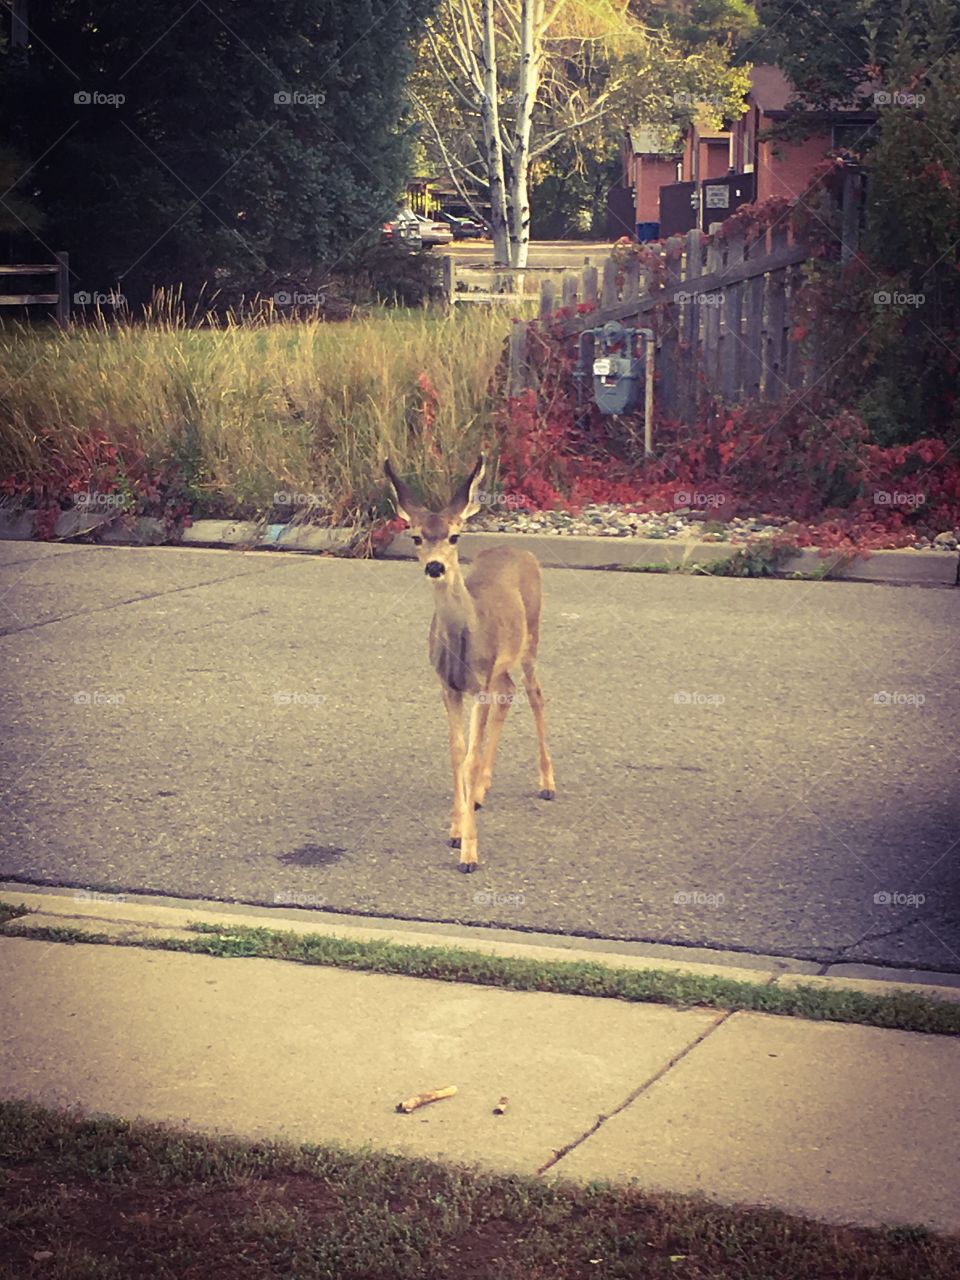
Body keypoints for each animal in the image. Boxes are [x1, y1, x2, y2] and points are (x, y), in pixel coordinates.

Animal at [383, 454, 555, 872]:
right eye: (416, 537)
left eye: (454, 536)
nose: (435, 567)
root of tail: (521, 550)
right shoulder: (449, 686)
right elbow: (456, 753)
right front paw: (456, 829)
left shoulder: (477, 686)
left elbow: (470, 758)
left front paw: (469, 854)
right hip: (501, 667)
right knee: (508, 691)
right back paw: (479, 793)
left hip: (531, 637)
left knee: (535, 693)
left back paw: (547, 784)